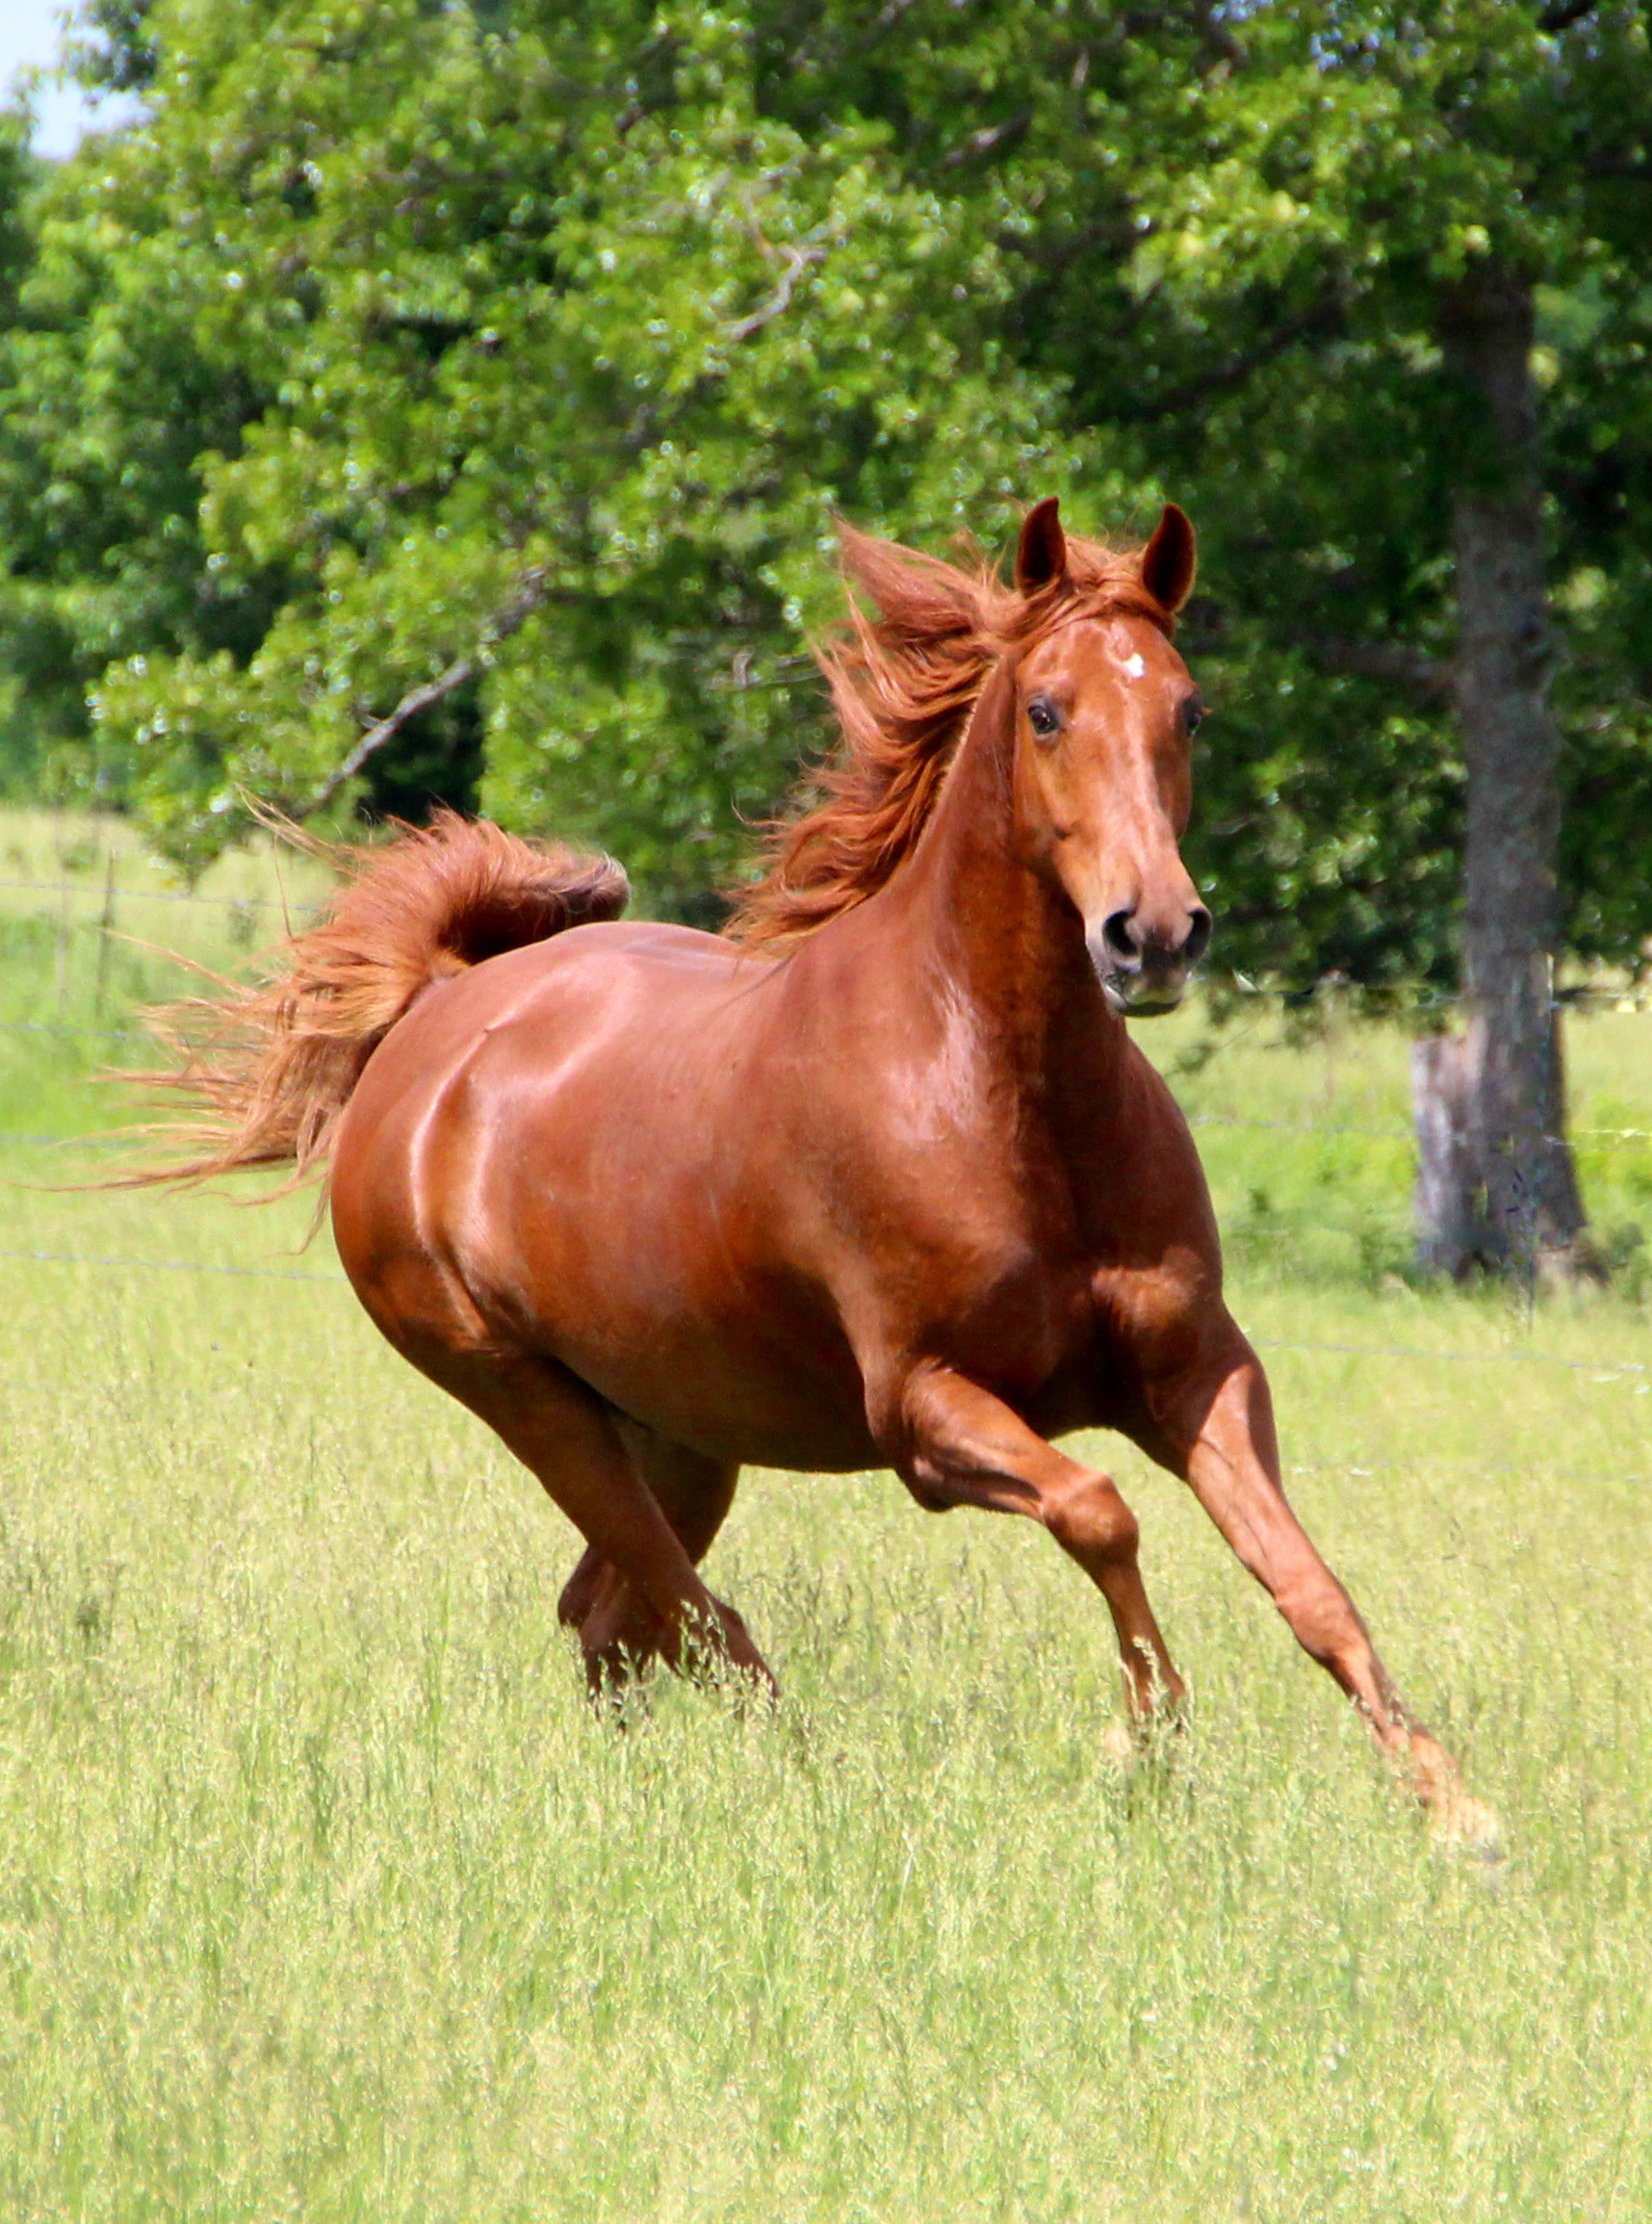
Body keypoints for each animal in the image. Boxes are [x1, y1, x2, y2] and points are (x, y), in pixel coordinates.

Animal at [138, 497, 1495, 1845]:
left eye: (1190, 707)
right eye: (1046, 710)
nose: (1152, 935)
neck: (1003, 1095)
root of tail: (431, 1018)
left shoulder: (1199, 1370)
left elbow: (1309, 1585)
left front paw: (1453, 1809)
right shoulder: (927, 1411)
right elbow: (1101, 1510)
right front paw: (1143, 1745)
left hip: (678, 1431)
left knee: (613, 1617)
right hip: (528, 1402)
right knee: (695, 1623)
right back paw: (814, 1786)